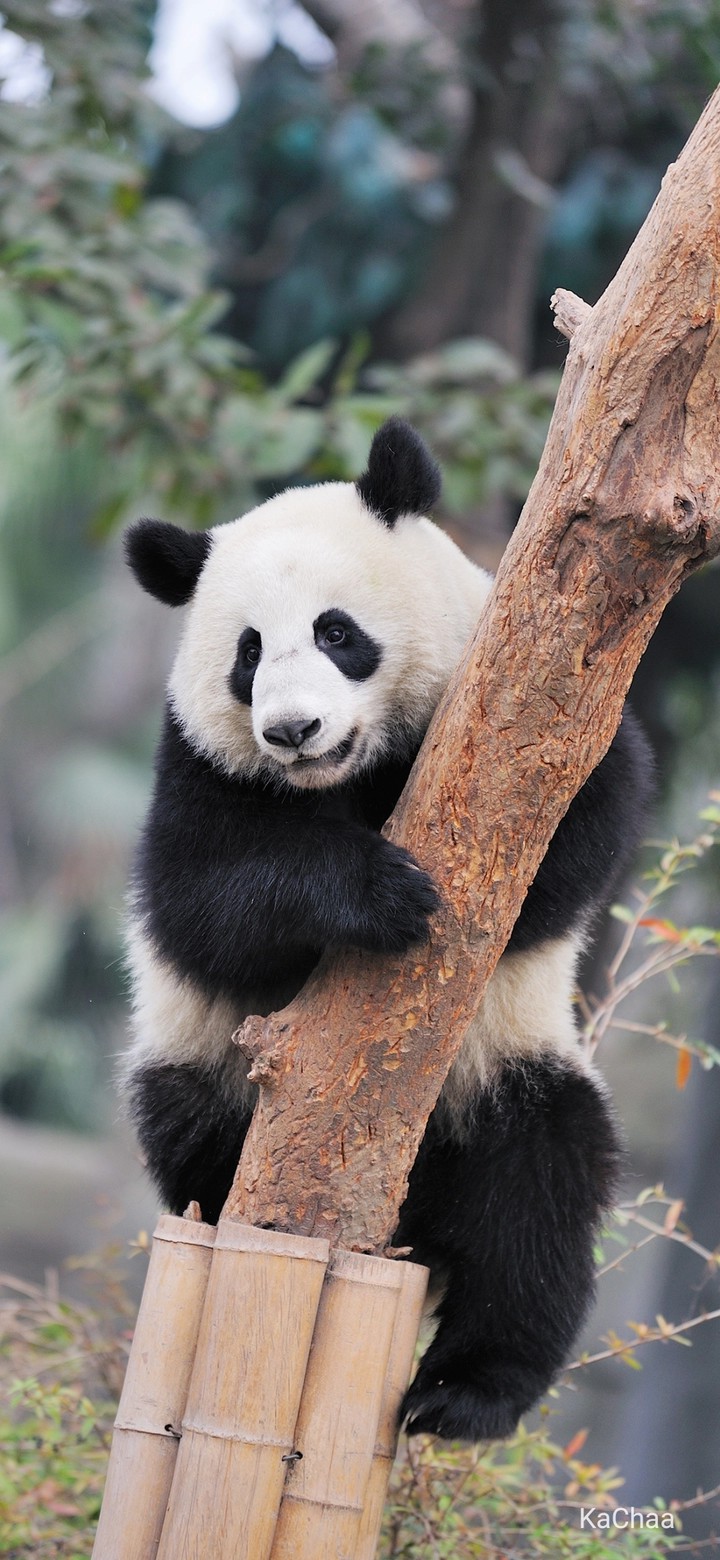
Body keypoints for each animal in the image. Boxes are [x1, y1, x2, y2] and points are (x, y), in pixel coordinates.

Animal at [122, 416, 652, 1442]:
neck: (351, 778)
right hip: (200, 1064)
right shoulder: (198, 766)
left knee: (538, 1197)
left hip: (504, 1069)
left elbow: (582, 834)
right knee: (192, 1133)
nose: (292, 731)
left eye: (337, 633)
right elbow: (200, 904)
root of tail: (414, 1233)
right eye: (249, 654)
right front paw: (379, 894)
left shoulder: (551, 719)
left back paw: (463, 1394)